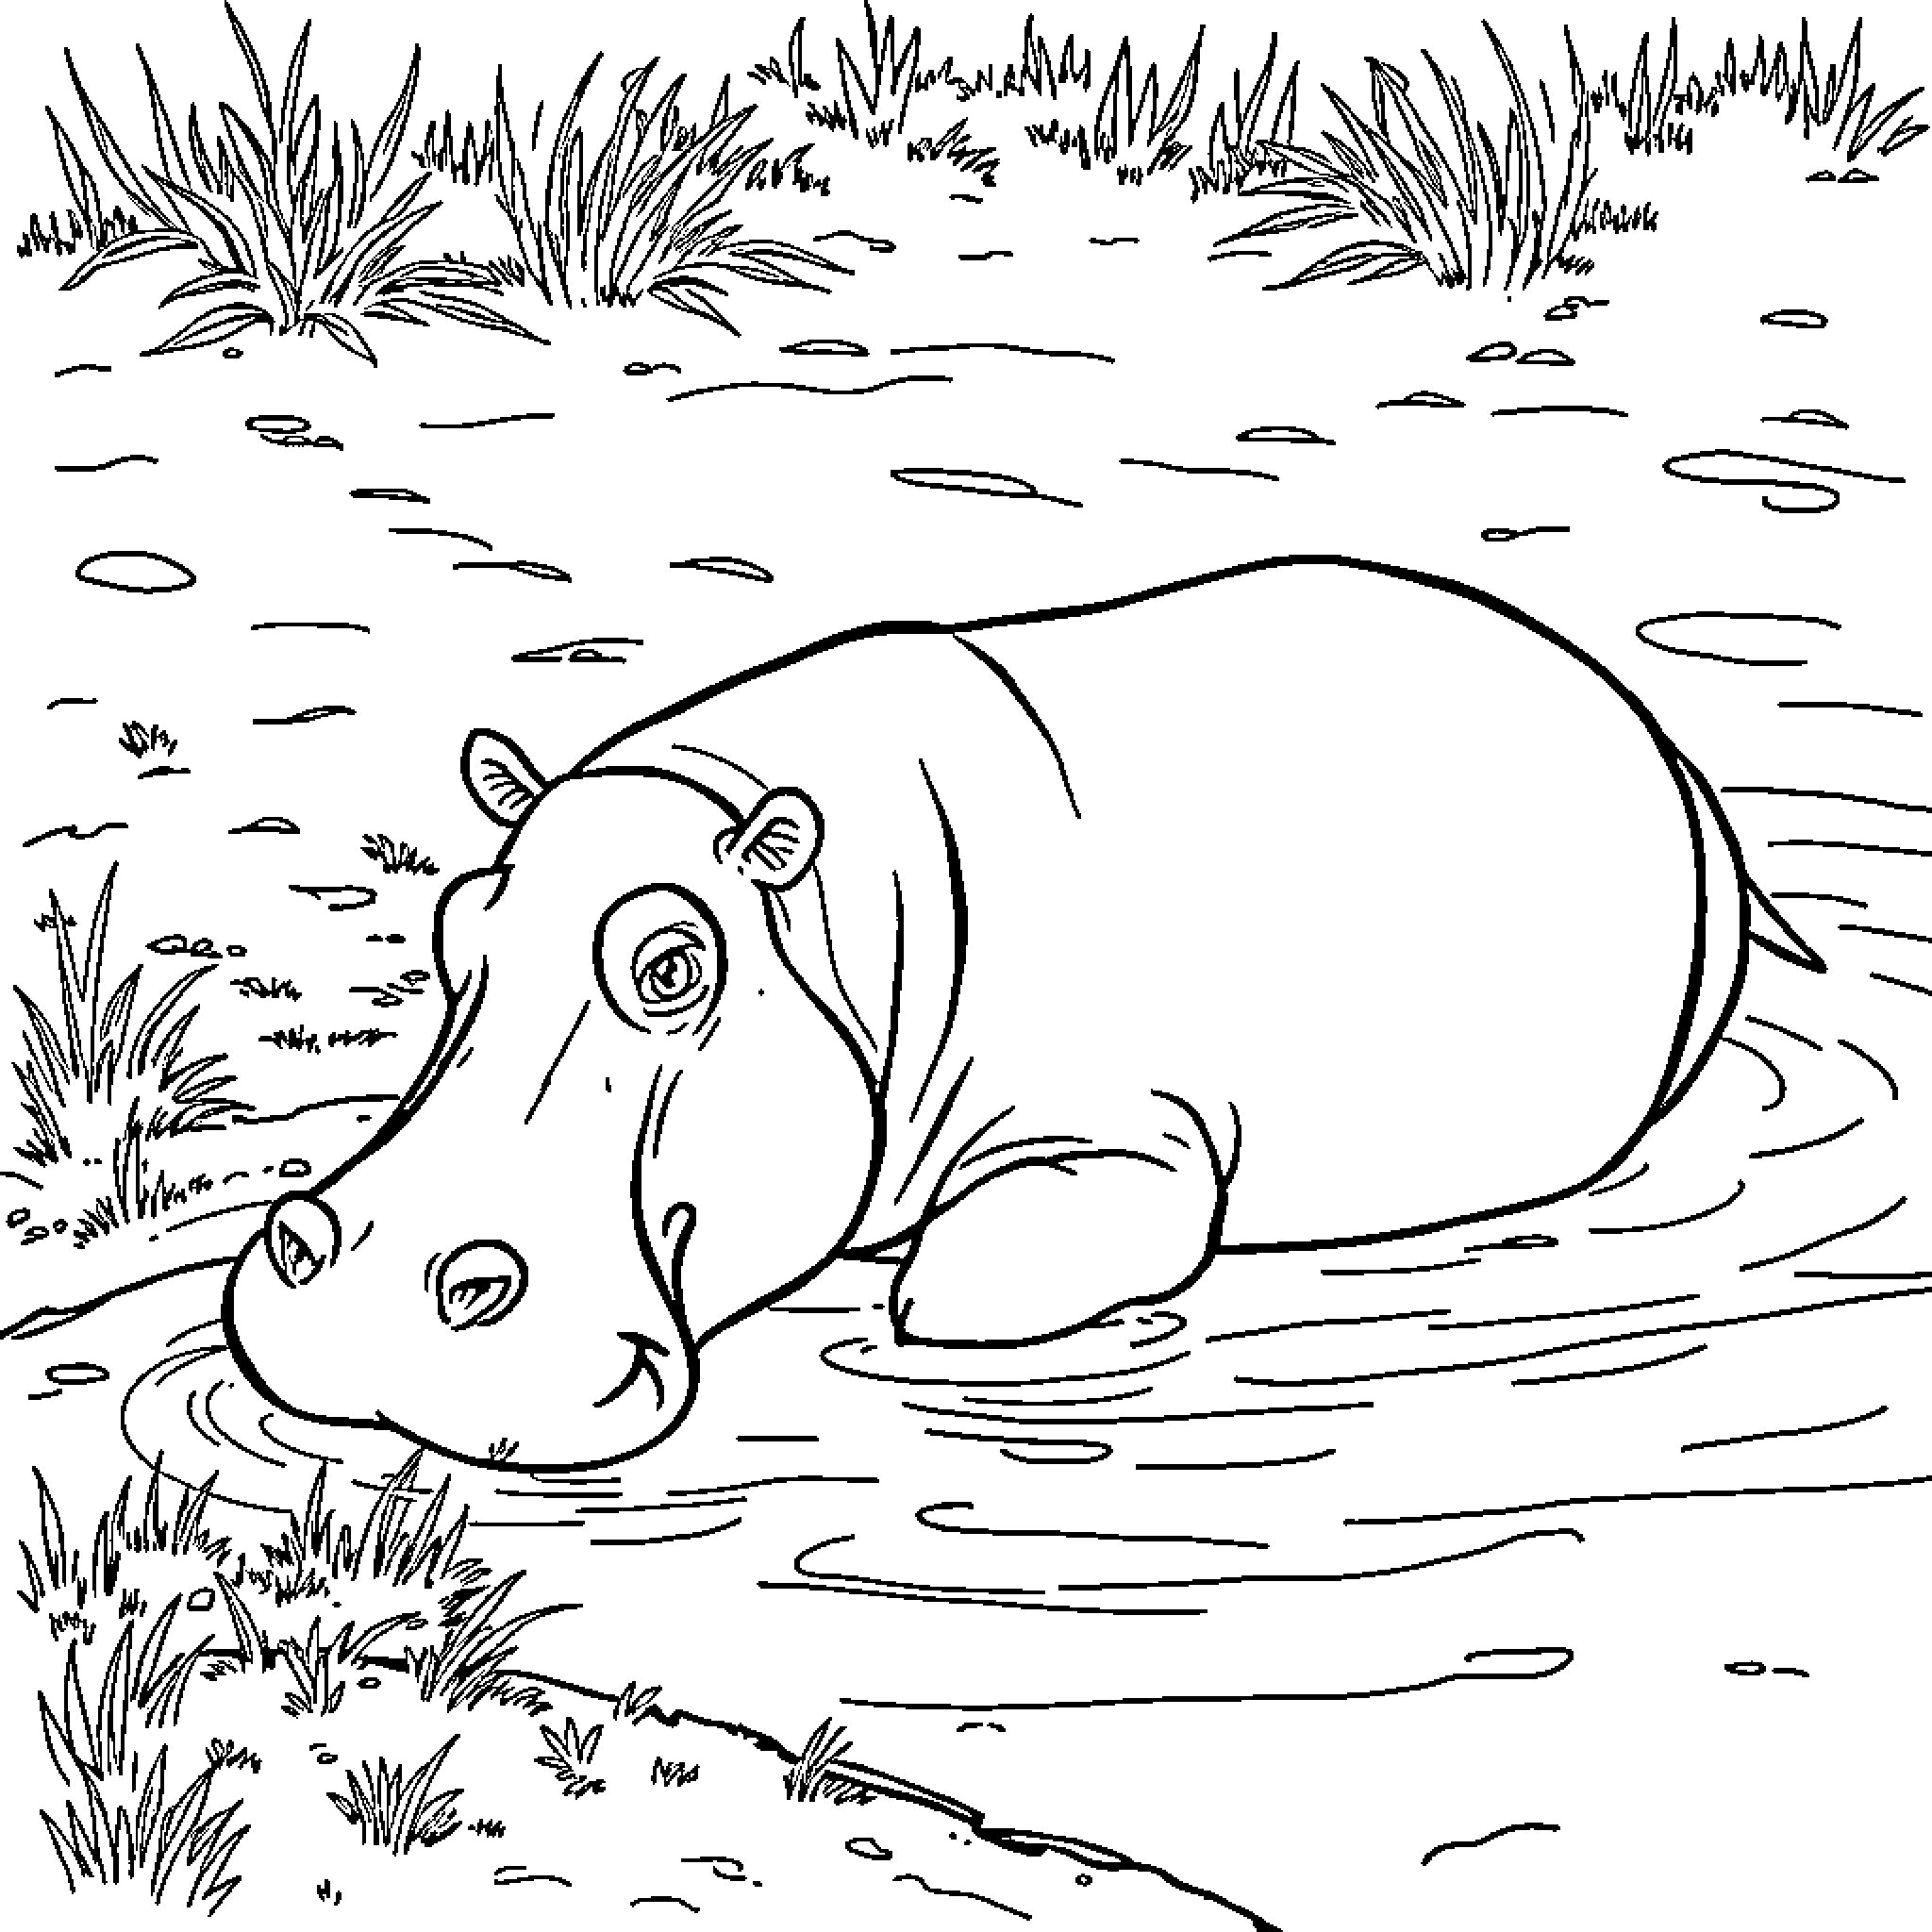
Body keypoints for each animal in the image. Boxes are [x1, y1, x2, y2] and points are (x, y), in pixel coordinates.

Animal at [223, 557, 1821, 1470]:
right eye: (455, 927)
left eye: (671, 966)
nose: (369, 1277)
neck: (823, 905)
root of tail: (1663, 734)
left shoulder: (1133, 1137)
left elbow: (974, 1281)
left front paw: (926, 1293)